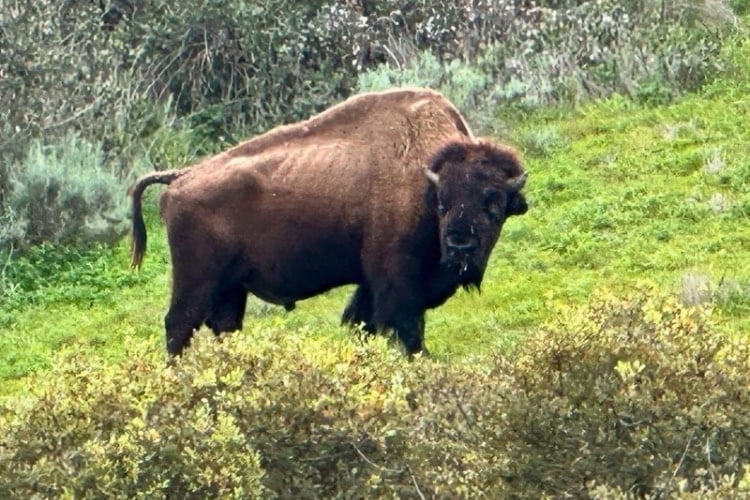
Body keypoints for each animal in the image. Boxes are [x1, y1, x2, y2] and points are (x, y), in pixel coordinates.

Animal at [130, 88, 528, 356]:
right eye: (442, 203)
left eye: (494, 207)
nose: (460, 246)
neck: (424, 177)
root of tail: (181, 178)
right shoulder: (396, 284)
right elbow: (405, 330)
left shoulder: (371, 284)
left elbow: (362, 322)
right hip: (196, 282)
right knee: (178, 326)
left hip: (230, 288)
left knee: (223, 326)